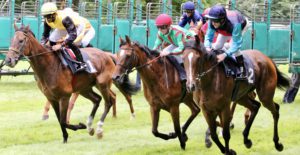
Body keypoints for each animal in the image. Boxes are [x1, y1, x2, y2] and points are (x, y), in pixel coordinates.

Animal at [4, 24, 138, 142]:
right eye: (11, 40)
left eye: (21, 40)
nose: (8, 60)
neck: (49, 65)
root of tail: (107, 55)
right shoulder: (52, 97)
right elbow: (60, 120)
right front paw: (65, 138)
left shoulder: (65, 96)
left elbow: (64, 120)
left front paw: (80, 126)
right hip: (84, 88)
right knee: (97, 99)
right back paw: (90, 126)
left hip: (102, 84)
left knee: (109, 101)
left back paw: (99, 129)